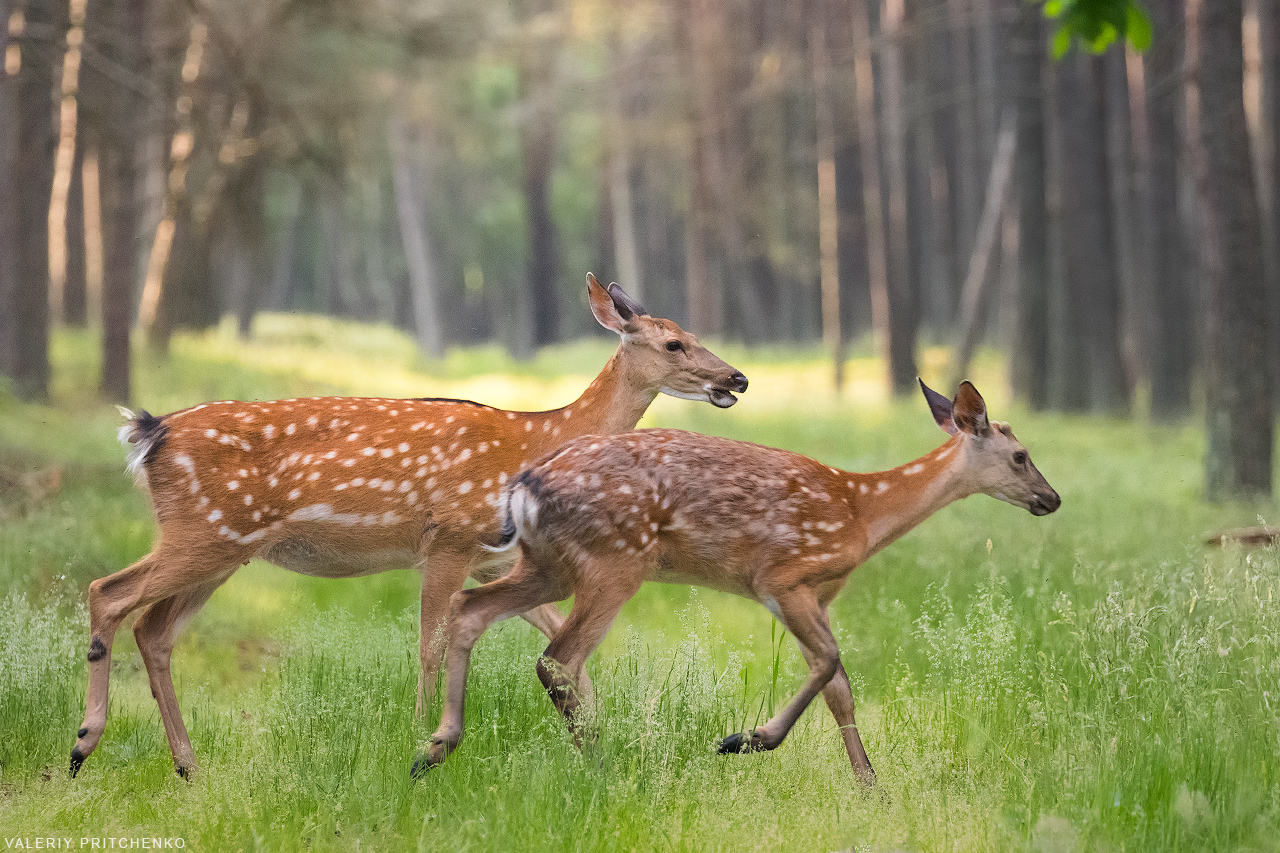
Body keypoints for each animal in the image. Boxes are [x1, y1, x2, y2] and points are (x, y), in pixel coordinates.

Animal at [70, 272, 747, 778]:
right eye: (674, 344)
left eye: (692, 334)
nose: (736, 378)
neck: (537, 439)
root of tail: (149, 433)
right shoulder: (449, 537)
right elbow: (430, 645)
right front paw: (420, 739)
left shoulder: (495, 557)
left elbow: (560, 644)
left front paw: (601, 740)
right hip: (203, 531)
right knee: (108, 592)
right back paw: (84, 742)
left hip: (225, 549)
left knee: (154, 629)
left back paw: (187, 766)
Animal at [419, 381, 1059, 778]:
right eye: (1021, 455)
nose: (1051, 499)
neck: (860, 514)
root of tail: (522, 487)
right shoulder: (782, 577)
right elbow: (828, 663)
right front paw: (746, 740)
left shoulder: (820, 594)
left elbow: (840, 687)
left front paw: (871, 786)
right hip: (613, 561)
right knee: (558, 657)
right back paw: (602, 762)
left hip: (547, 564)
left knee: (471, 607)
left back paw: (435, 748)